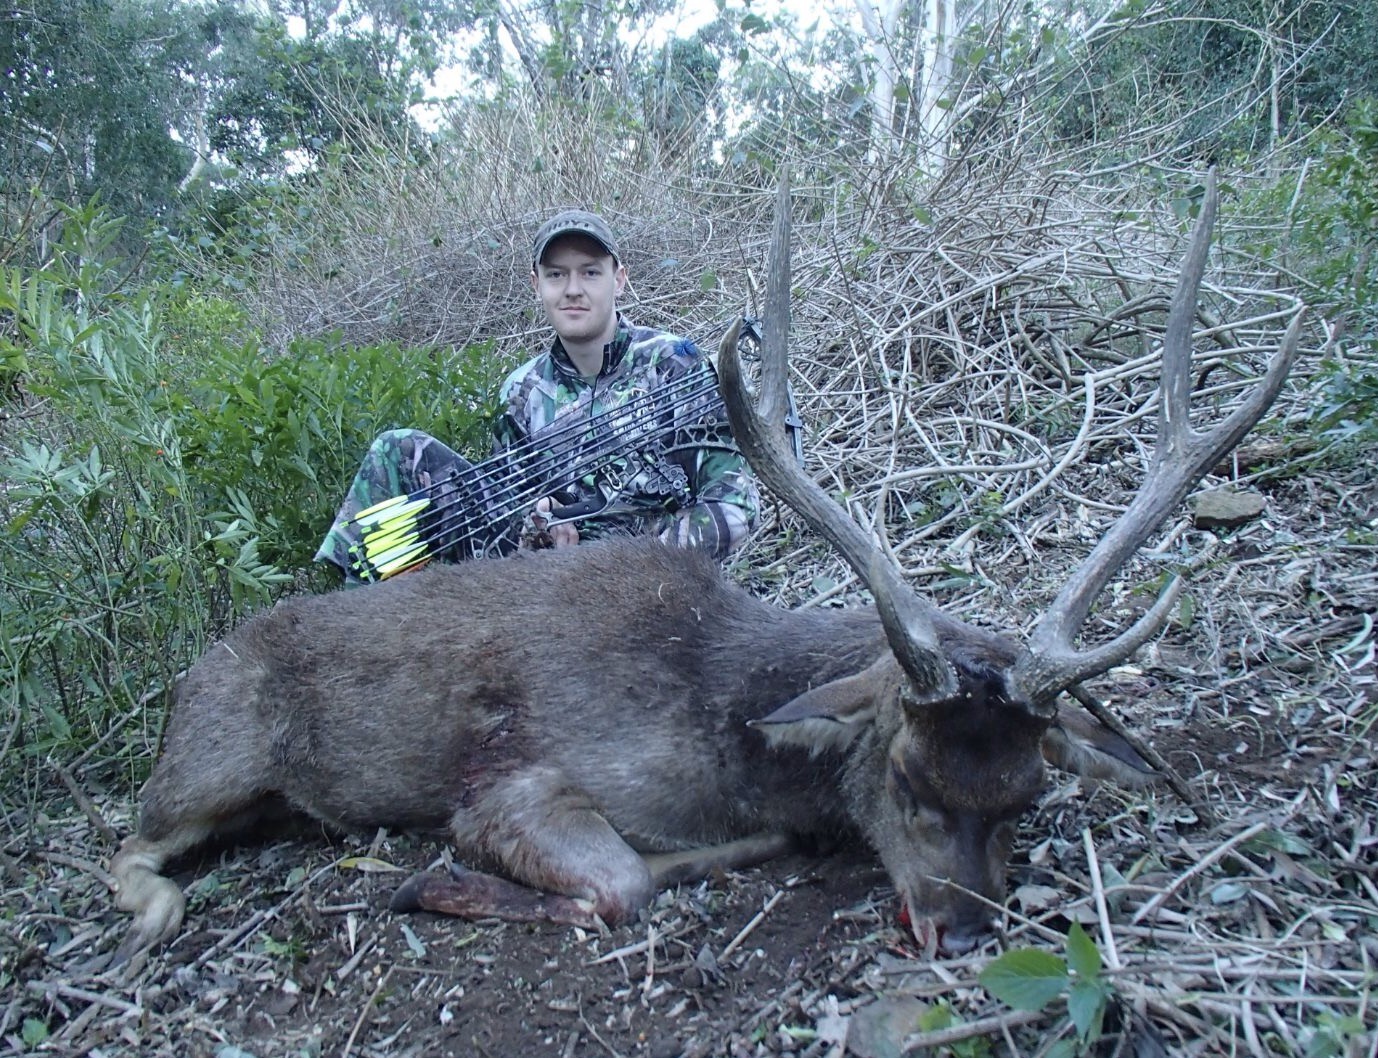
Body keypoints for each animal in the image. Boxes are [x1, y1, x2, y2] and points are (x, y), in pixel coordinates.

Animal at [110, 167, 1300, 969]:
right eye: (908, 779)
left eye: (1027, 793)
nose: (962, 934)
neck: (728, 715)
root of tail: (185, 681)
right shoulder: (516, 782)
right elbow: (621, 880)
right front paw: (431, 884)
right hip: (207, 762)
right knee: (131, 842)